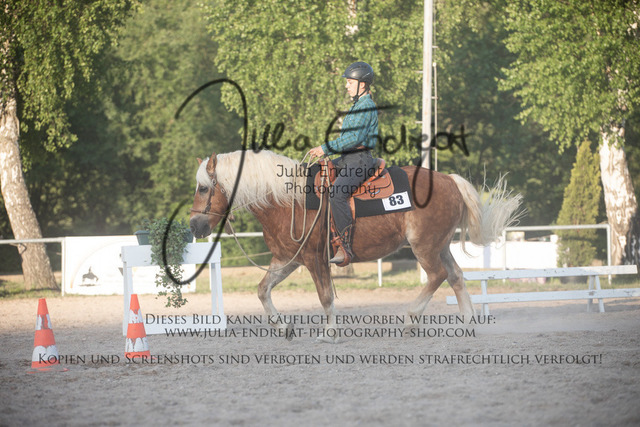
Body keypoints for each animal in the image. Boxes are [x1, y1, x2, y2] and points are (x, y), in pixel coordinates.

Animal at [189, 150, 522, 342]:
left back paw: (410, 320)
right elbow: (262, 290)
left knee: (437, 276)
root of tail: (450, 181)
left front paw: (330, 332)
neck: (288, 200)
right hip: (440, 245)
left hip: (424, 246)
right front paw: (284, 328)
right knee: (455, 277)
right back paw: (466, 325)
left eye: (203, 188)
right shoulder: (287, 259)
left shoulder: (314, 259)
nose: (194, 225)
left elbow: (325, 296)